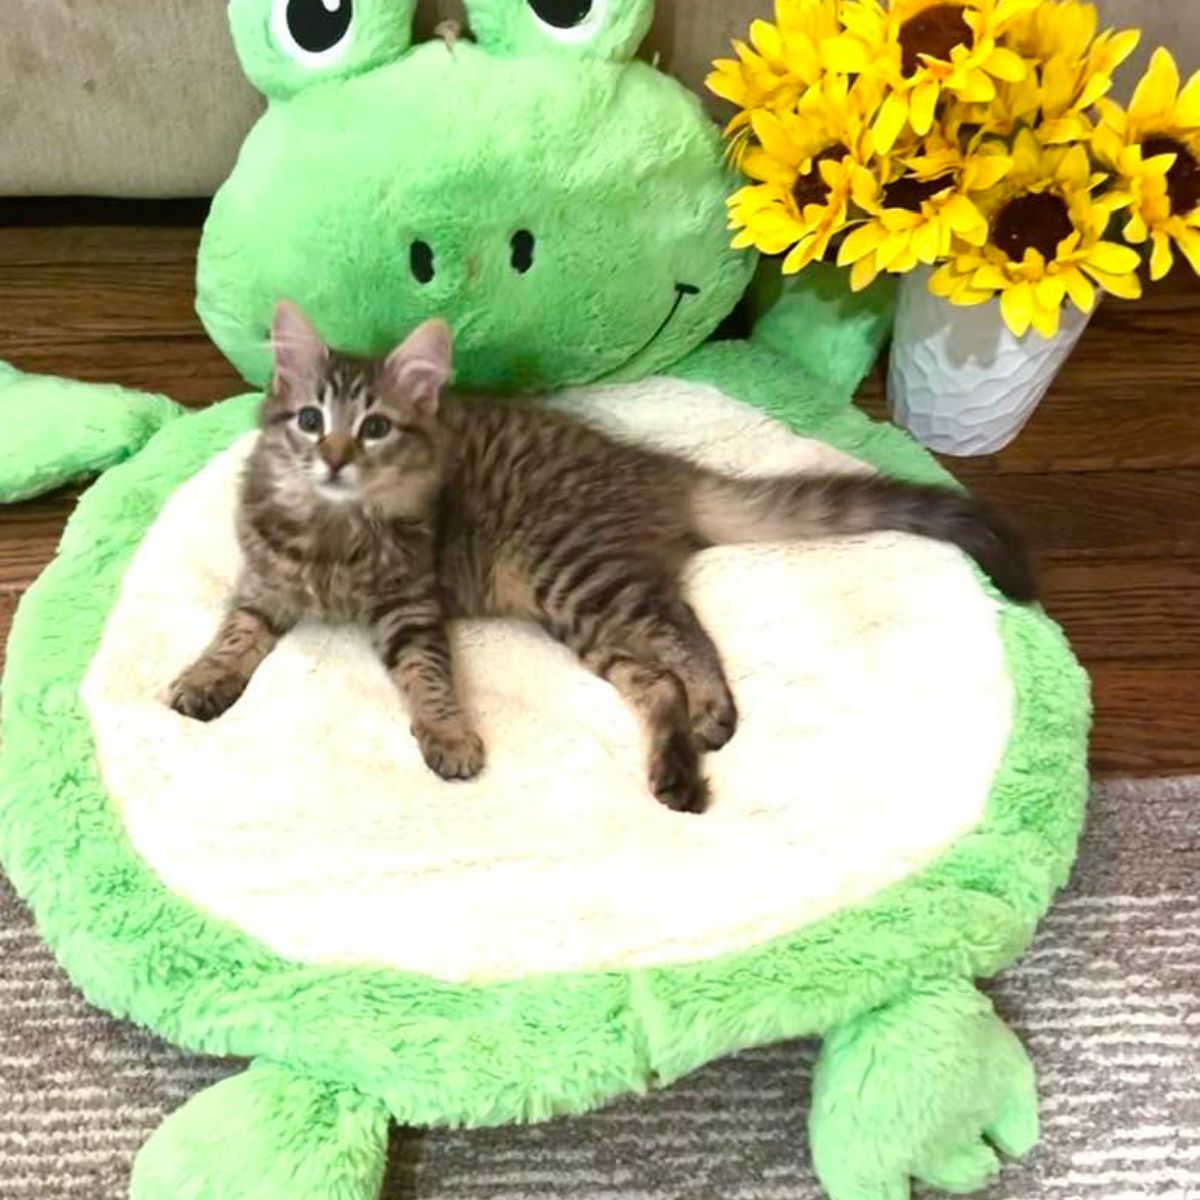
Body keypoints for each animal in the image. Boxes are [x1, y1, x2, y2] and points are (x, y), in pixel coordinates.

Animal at [164, 297, 1036, 816]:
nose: (336, 458)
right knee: (657, 682)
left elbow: (429, 679)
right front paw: (205, 680)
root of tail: (651, 469)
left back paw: (712, 715)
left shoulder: (410, 606)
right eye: (310, 420)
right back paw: (678, 768)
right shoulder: (262, 584)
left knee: (688, 634)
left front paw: (447, 736)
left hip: (578, 577)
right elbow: (233, 636)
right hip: (580, 617)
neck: (334, 528)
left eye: (374, 427)